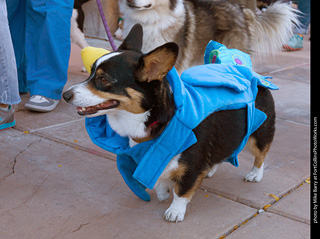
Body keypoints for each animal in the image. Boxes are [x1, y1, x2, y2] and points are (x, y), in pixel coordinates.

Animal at [63, 24, 276, 222]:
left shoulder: (190, 168)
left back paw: (255, 174)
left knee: (261, 154)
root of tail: (250, 73)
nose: (65, 95)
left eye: (103, 79)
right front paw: (163, 193)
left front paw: (174, 211)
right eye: (90, 73)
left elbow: (181, 191)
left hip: (259, 135)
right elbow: (161, 180)